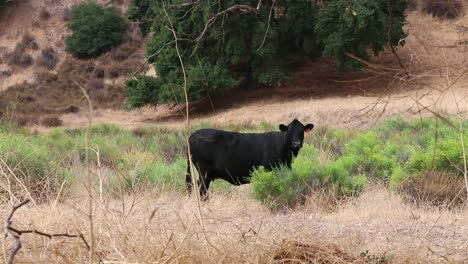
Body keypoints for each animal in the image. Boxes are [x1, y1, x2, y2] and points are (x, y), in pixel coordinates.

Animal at [186, 119, 314, 198]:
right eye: (289, 132)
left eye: (302, 131)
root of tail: (194, 134)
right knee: (202, 191)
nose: (297, 144)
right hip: (204, 173)